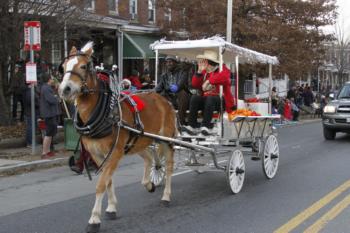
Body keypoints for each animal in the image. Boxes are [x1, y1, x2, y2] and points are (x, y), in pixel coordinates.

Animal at [58, 42, 178, 233]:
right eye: (63, 67)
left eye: (83, 66)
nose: (65, 89)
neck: (104, 113)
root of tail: (164, 99)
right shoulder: (97, 155)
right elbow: (108, 181)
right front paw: (112, 207)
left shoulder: (114, 153)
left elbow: (101, 184)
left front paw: (94, 218)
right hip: (138, 141)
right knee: (150, 158)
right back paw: (148, 183)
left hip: (167, 140)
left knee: (168, 166)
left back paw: (166, 196)